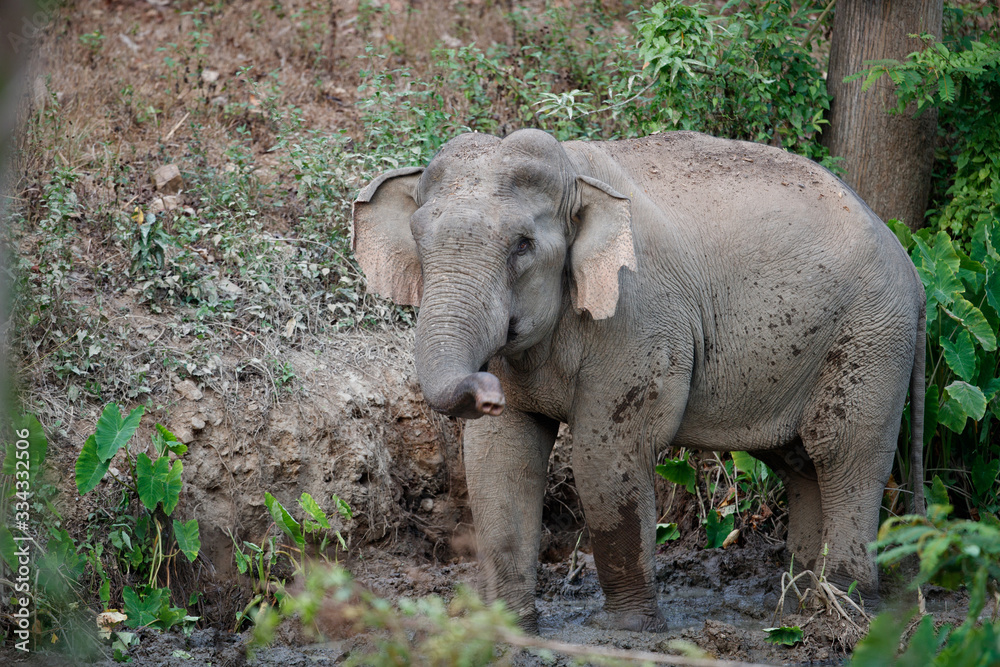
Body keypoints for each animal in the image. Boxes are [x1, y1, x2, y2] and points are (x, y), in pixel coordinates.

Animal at [351, 128, 926, 633]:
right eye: (419, 240)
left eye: (522, 245)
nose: (484, 388)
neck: (578, 175)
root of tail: (912, 264)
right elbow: (500, 457)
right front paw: (510, 629)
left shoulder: (639, 316)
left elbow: (606, 454)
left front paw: (625, 628)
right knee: (799, 462)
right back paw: (799, 605)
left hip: (872, 336)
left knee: (843, 451)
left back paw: (843, 609)